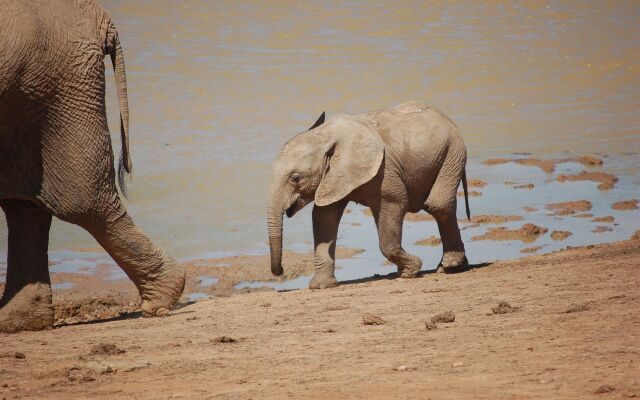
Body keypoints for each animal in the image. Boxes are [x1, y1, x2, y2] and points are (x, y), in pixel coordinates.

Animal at [0, 0, 185, 332]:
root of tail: (101, 16)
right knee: (26, 206)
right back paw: (16, 322)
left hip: (60, 87)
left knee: (81, 202)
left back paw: (159, 302)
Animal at [266, 101, 470, 290]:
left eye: (295, 178)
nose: (281, 271)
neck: (323, 135)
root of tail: (446, 118)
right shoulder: (334, 177)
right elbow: (324, 217)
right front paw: (321, 286)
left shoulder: (384, 171)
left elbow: (395, 201)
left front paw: (410, 270)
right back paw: (457, 267)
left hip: (452, 152)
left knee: (438, 204)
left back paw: (449, 266)